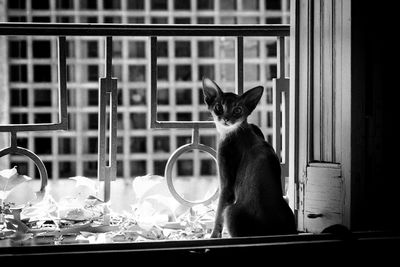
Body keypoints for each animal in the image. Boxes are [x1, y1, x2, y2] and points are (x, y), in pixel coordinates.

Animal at [203, 77, 296, 239]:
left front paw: (214, 235)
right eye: (218, 107)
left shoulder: (226, 181)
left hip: (231, 212)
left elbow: (219, 210)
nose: (226, 119)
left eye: (238, 110)